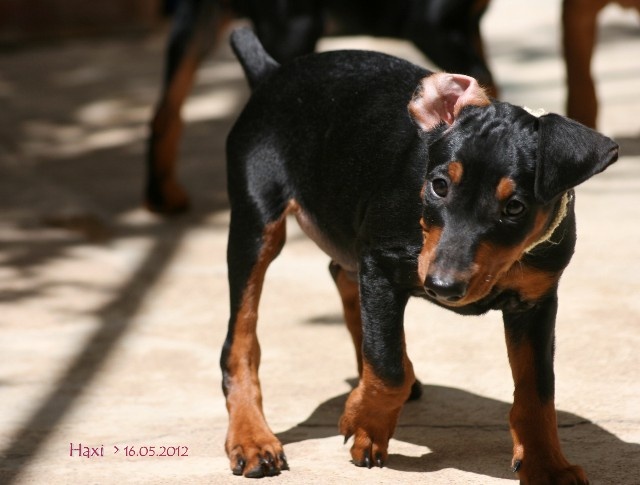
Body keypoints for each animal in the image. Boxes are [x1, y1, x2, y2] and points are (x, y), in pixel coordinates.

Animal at [145, 0, 495, 214]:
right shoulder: (433, 26)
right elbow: (485, 79)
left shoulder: (469, 25)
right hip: (294, 28)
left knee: (166, 110)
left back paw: (162, 195)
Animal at [220, 28, 618, 482]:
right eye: (439, 185)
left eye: (515, 207)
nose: (442, 287)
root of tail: (272, 72)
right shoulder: (381, 264)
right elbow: (390, 365)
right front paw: (364, 420)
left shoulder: (535, 301)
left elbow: (537, 390)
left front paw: (547, 464)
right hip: (256, 223)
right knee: (240, 341)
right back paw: (253, 439)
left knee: (341, 274)